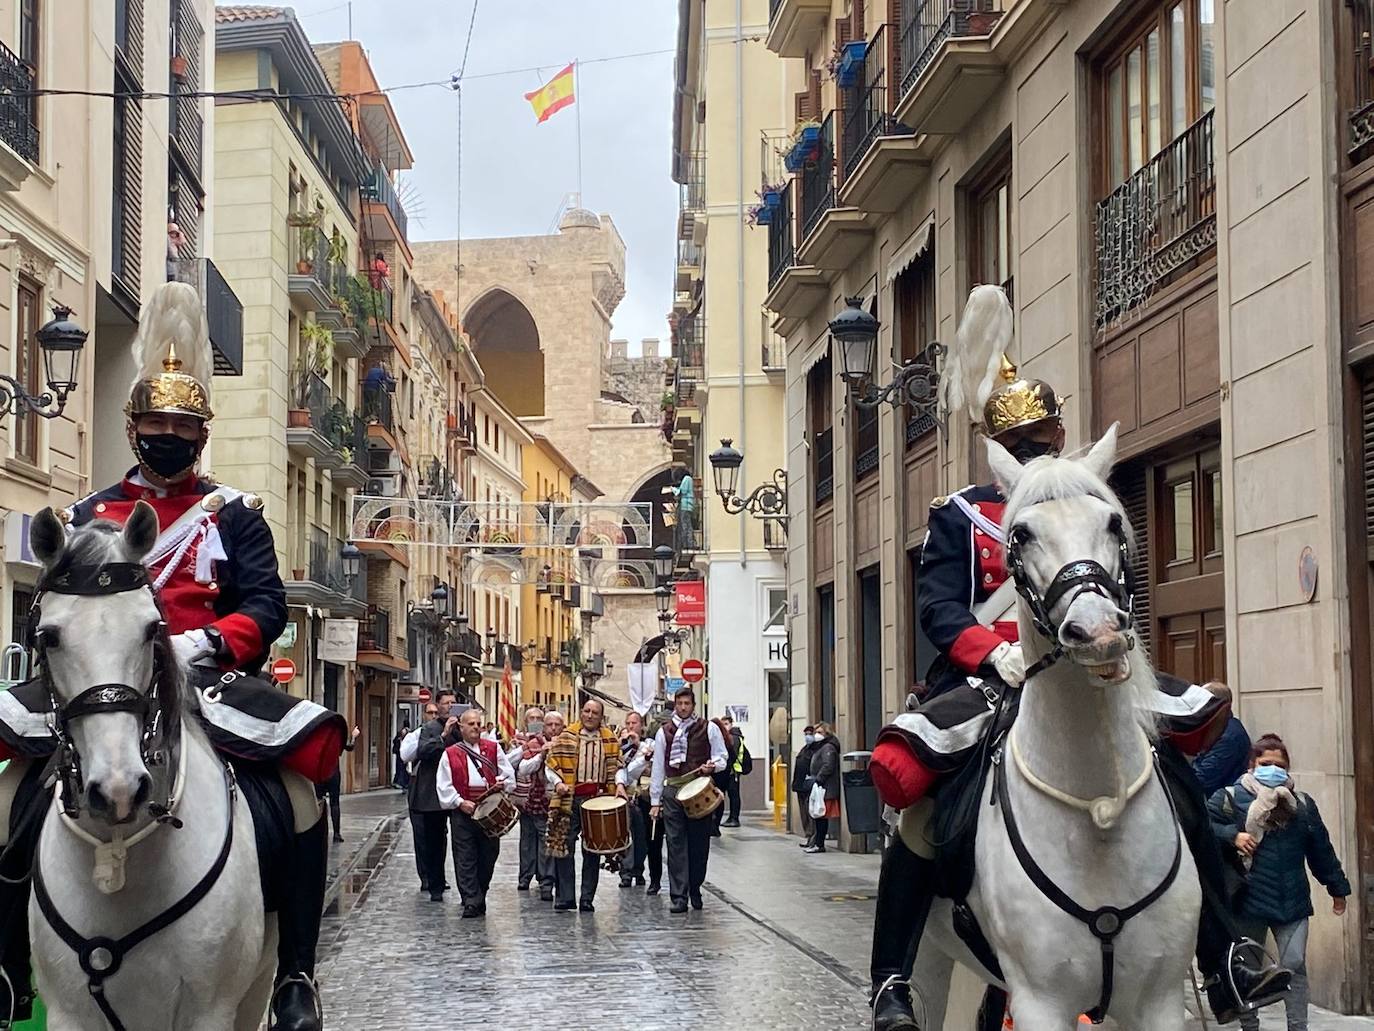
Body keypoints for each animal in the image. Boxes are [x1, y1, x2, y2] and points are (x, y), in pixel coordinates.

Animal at [26, 503, 276, 1031]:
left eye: (150, 629)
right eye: (49, 636)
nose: (119, 790)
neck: (119, 848)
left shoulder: (211, 1012)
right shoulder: (66, 1013)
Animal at [912, 423, 1203, 1028]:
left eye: (1113, 522)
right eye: (1021, 535)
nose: (1097, 631)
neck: (1097, 808)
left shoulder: (1158, 1000)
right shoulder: (1041, 1002)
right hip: (931, 955)